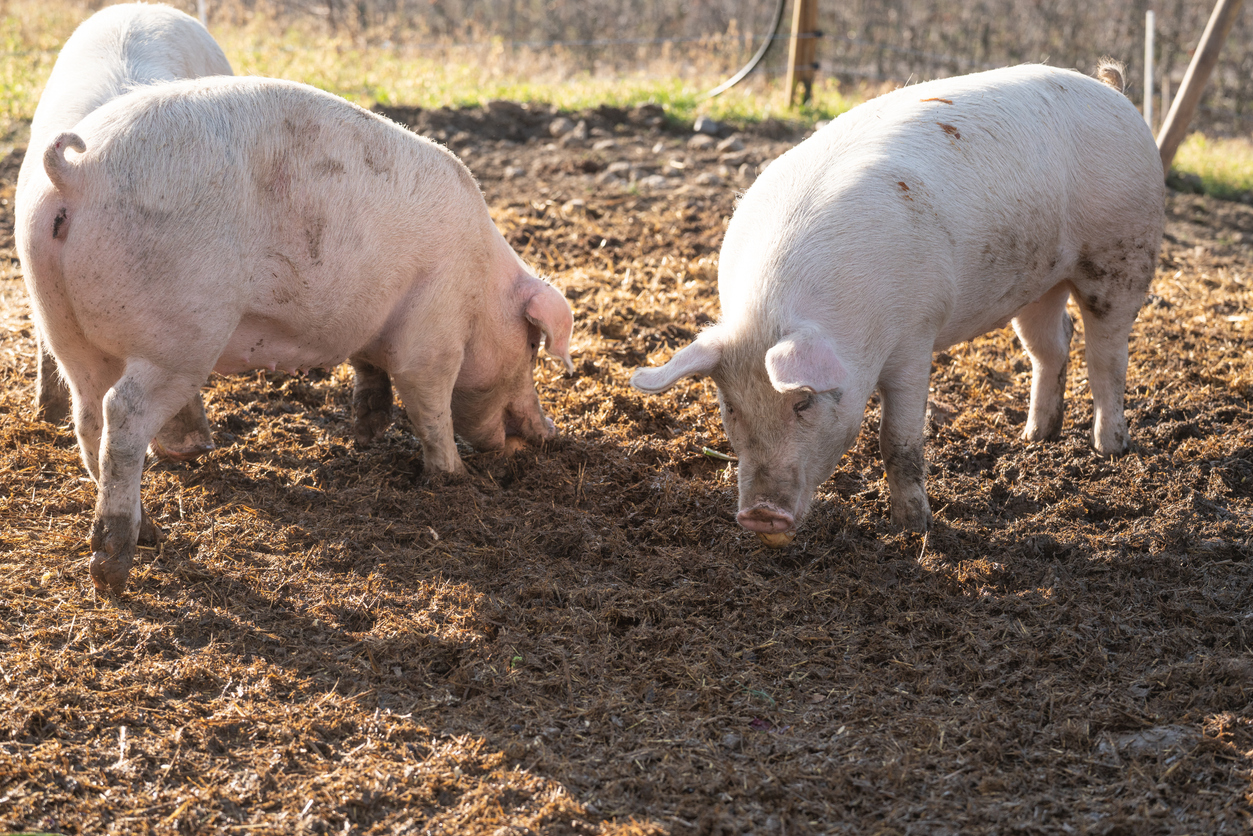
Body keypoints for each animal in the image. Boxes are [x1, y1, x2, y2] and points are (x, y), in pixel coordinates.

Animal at [22, 75, 573, 591]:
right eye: (531, 344)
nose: (548, 433)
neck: (482, 287)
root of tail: (77, 174)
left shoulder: (372, 326)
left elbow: (370, 370)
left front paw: (367, 432)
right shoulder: (432, 333)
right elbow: (431, 408)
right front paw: (453, 477)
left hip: (60, 323)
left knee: (87, 417)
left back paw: (150, 531)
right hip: (177, 338)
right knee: (123, 415)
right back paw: (114, 567)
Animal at [636, 67, 1162, 548]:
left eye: (803, 402)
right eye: (730, 406)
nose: (761, 514)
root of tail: (1113, 91)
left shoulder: (915, 337)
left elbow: (898, 441)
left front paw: (914, 529)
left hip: (1122, 254)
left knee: (1107, 354)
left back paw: (1110, 448)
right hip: (1038, 281)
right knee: (1052, 346)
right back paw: (1034, 437)